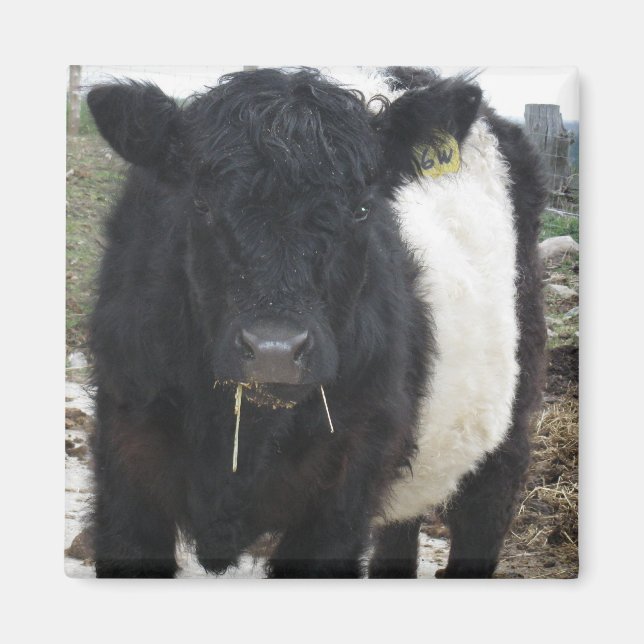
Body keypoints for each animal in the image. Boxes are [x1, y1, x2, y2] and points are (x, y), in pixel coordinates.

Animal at [86, 66, 546, 578]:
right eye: (200, 205)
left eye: (362, 209)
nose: (274, 351)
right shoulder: (125, 466)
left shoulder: (342, 492)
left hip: (511, 411)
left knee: (486, 506)